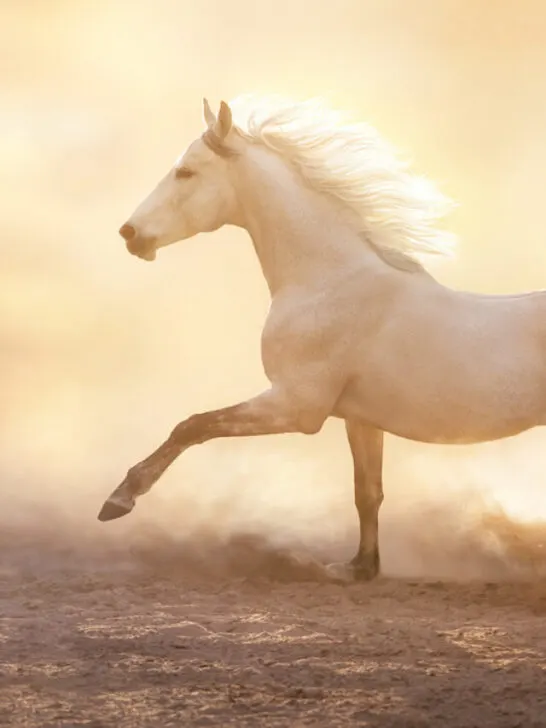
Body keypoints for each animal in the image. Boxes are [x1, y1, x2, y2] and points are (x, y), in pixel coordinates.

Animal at [98, 95, 546, 581]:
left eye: (186, 172)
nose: (130, 234)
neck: (328, 281)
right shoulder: (360, 418)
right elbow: (367, 491)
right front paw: (358, 568)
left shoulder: (296, 406)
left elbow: (193, 425)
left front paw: (118, 500)